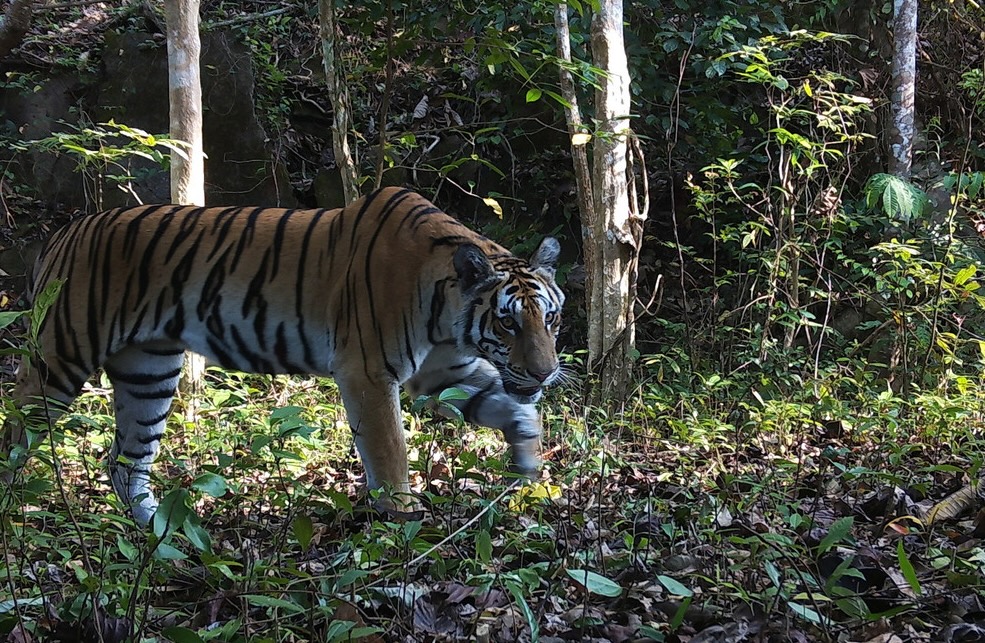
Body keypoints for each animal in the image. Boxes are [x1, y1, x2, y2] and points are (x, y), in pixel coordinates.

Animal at [1, 187, 565, 525]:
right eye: (508, 322)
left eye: (551, 319)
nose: (545, 373)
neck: (446, 310)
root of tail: (65, 232)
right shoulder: (367, 371)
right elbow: (390, 452)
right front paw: (401, 521)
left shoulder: (444, 368)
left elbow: (507, 407)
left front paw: (529, 467)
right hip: (59, 356)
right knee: (18, 434)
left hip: (148, 372)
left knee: (124, 460)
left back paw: (163, 534)